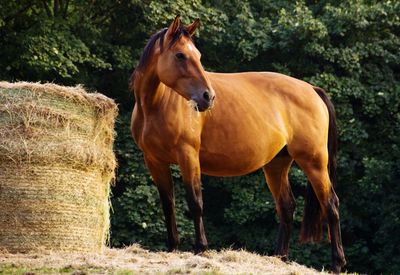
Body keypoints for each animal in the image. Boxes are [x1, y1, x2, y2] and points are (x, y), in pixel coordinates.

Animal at [130, 15, 346, 274]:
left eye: (198, 55)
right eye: (180, 55)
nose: (208, 97)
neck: (156, 105)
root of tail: (312, 89)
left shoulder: (188, 156)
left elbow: (195, 202)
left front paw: (201, 248)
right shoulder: (154, 161)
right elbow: (167, 204)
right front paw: (172, 248)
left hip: (313, 162)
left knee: (330, 205)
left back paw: (337, 264)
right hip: (276, 165)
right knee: (286, 206)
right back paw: (279, 258)